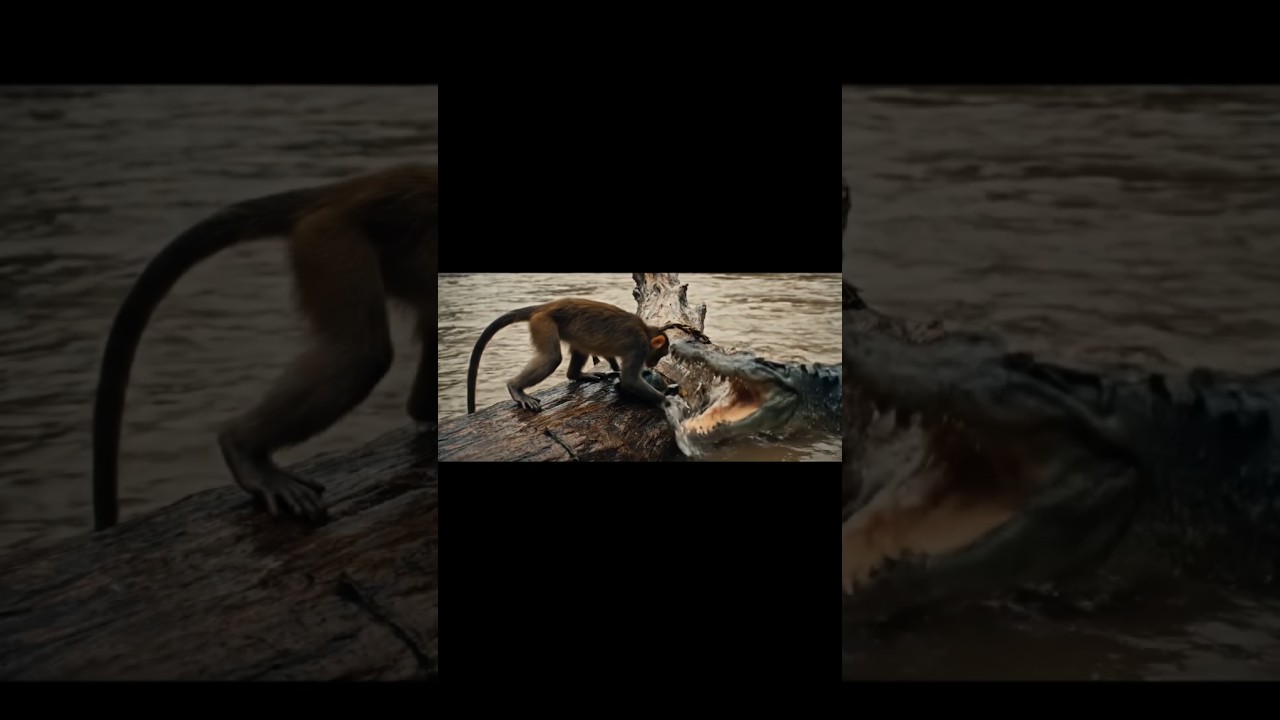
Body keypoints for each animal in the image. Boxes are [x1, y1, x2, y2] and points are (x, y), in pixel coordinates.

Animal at [465, 298, 682, 414]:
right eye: (660, 354)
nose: (653, 362)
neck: (645, 332)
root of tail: (545, 307)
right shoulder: (638, 347)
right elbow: (630, 380)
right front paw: (666, 402)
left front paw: (614, 367)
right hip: (544, 322)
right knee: (552, 358)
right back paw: (515, 388)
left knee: (580, 348)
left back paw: (576, 375)